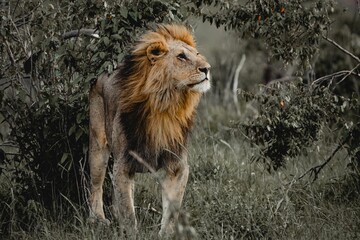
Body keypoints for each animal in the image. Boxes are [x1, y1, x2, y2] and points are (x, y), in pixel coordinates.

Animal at [89, 23, 211, 234]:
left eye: (197, 54)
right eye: (181, 56)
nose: (207, 69)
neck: (165, 105)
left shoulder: (177, 166)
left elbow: (171, 211)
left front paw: (166, 234)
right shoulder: (123, 165)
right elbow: (128, 214)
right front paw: (131, 234)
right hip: (97, 146)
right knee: (95, 184)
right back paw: (97, 220)